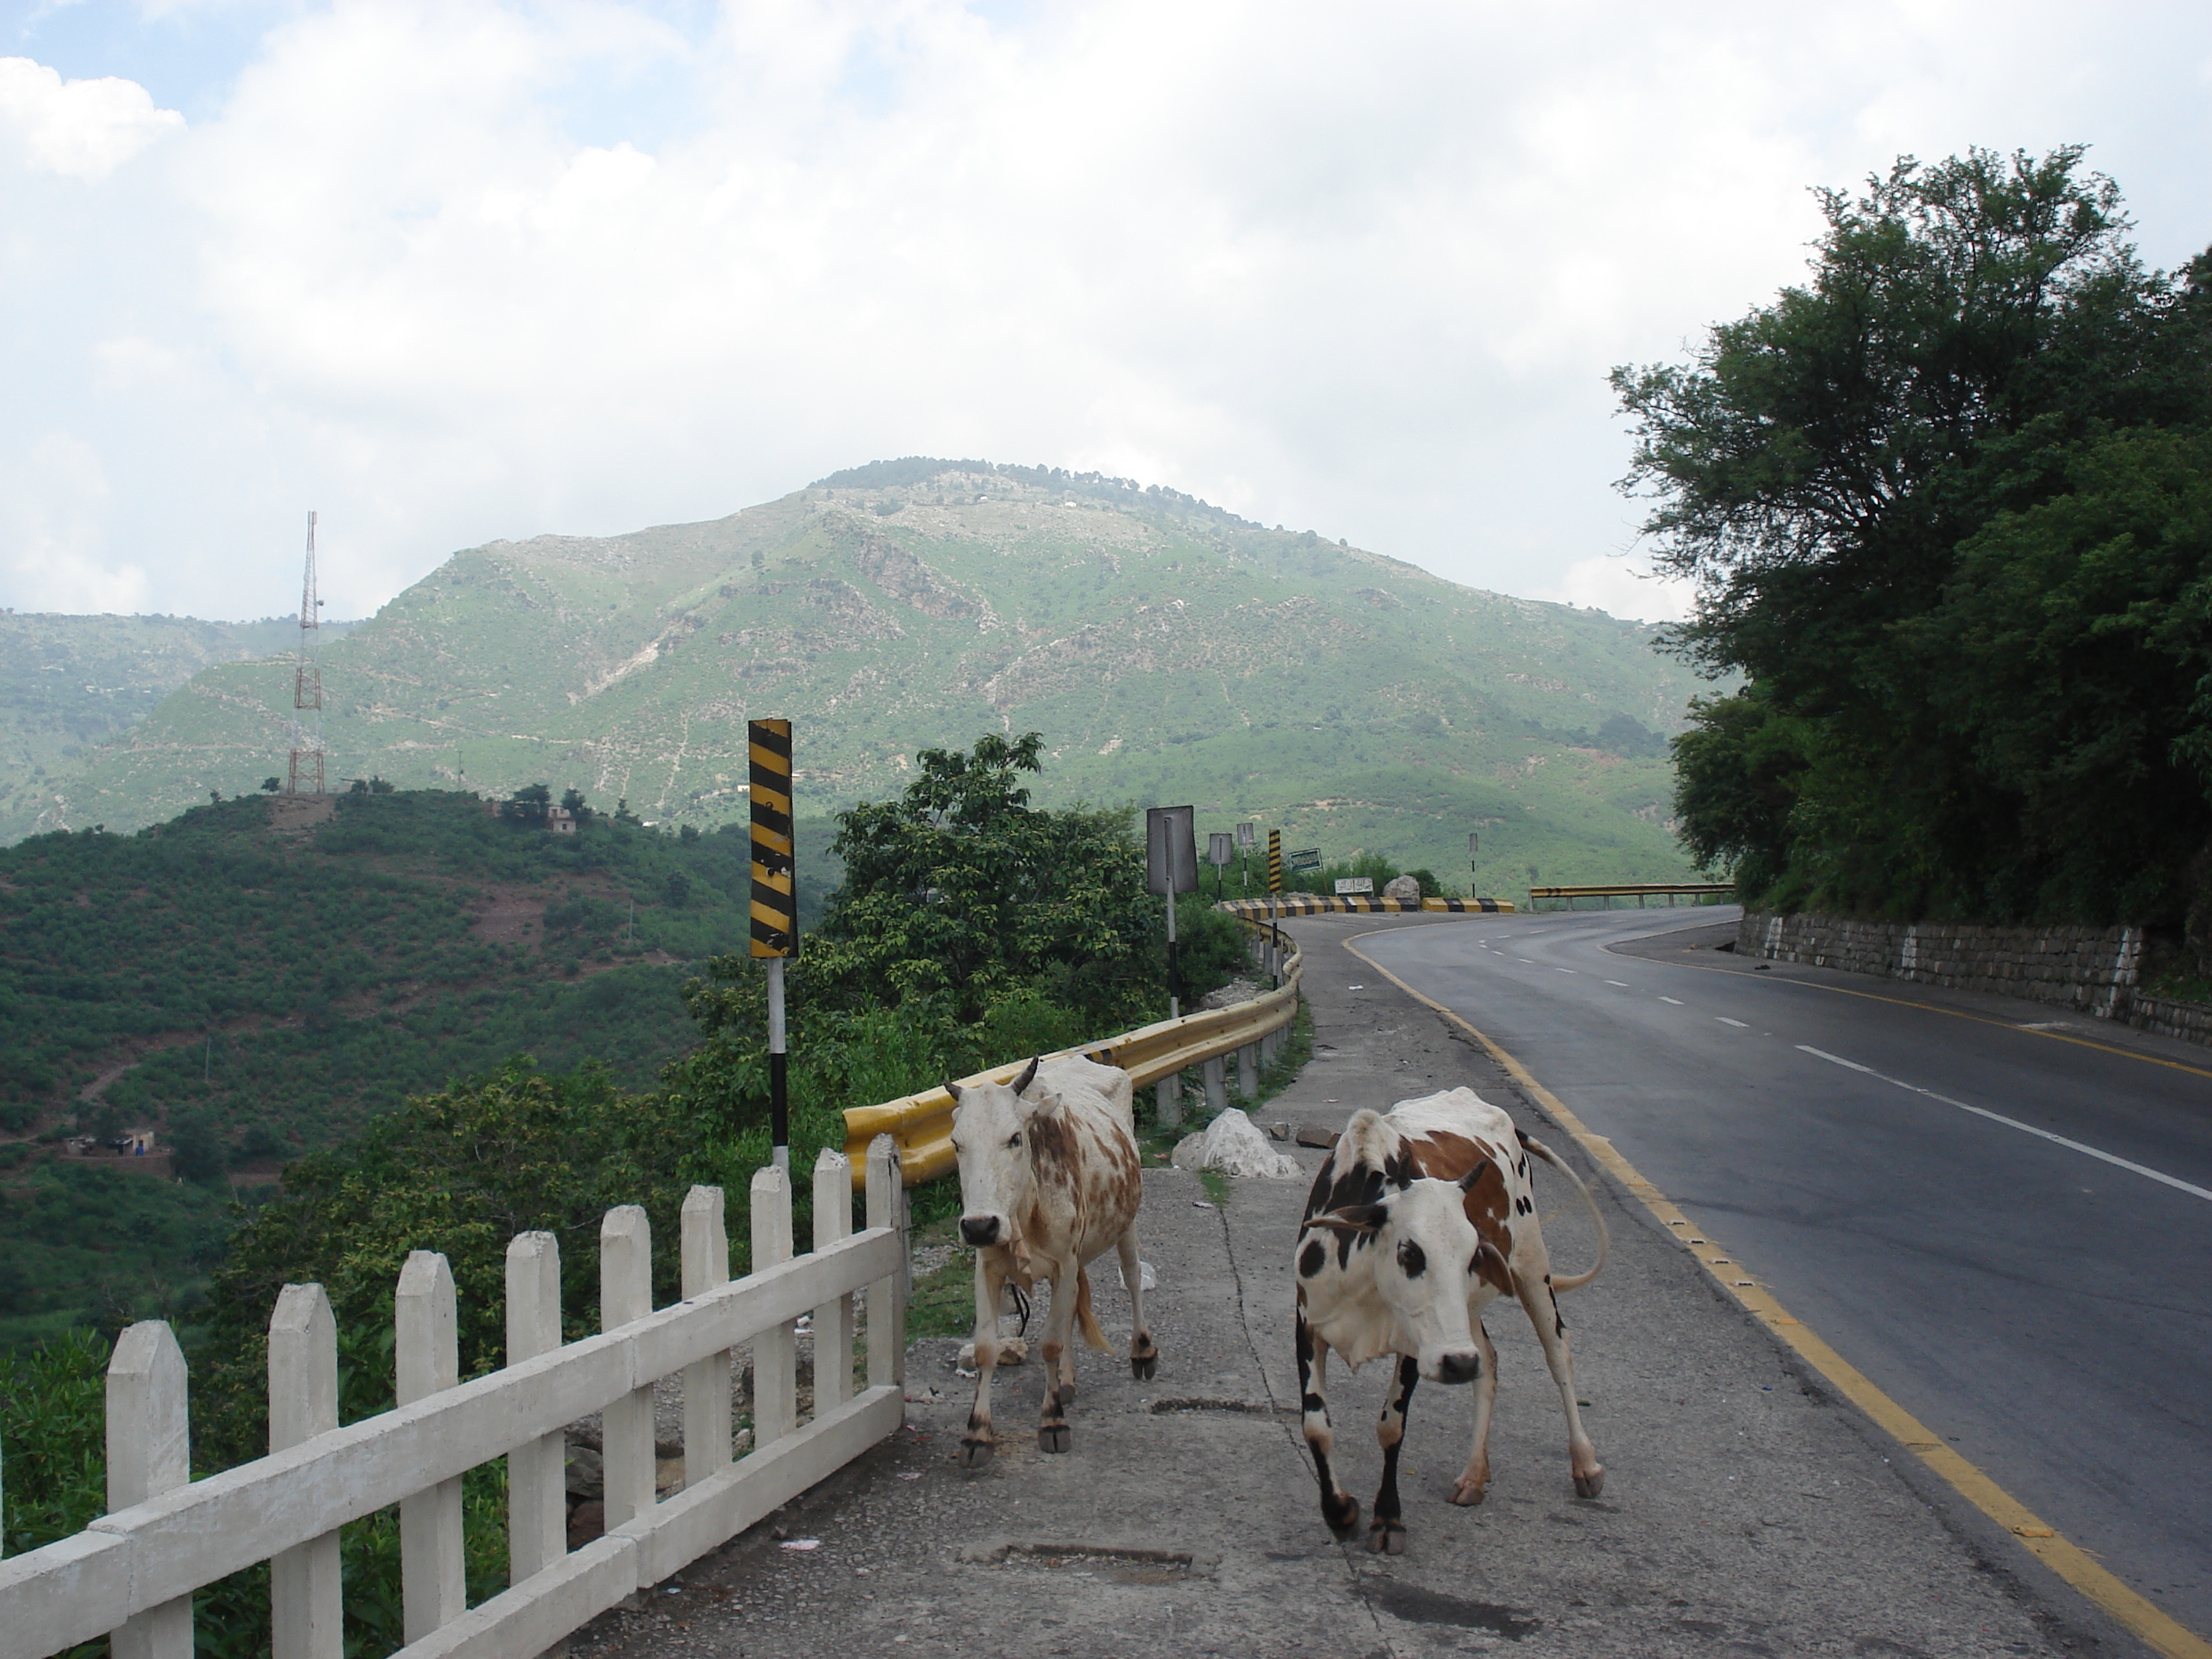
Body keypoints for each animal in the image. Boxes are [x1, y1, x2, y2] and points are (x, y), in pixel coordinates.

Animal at [947, 1057, 1159, 1478]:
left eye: (1015, 1138)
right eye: (956, 1143)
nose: (979, 1226)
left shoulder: (1064, 1263)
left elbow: (1049, 1343)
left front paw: (1053, 1421)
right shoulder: (989, 1268)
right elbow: (986, 1350)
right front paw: (977, 1434)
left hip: (1127, 1221)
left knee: (1131, 1279)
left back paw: (1142, 1350)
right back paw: (1066, 1380)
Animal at [1291, 1093, 1610, 1557]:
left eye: (1473, 1255)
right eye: (1409, 1252)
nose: (1458, 1364)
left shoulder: (1419, 1348)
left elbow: (1391, 1427)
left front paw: (1388, 1519)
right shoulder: (1308, 1324)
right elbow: (1316, 1427)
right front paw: (1340, 1513)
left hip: (1532, 1267)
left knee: (1558, 1354)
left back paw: (1585, 1464)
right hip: (1467, 1317)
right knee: (1489, 1362)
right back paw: (1474, 1474)